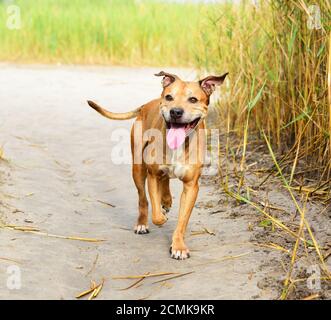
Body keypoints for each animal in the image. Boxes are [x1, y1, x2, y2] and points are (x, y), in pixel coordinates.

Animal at [87, 70, 228, 260]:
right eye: (169, 97)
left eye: (193, 99)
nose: (175, 111)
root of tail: (146, 105)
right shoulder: (152, 176)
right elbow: (155, 213)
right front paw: (161, 217)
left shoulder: (191, 186)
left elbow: (182, 220)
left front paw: (178, 246)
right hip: (138, 169)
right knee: (143, 199)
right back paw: (143, 222)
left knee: (165, 181)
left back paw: (166, 200)